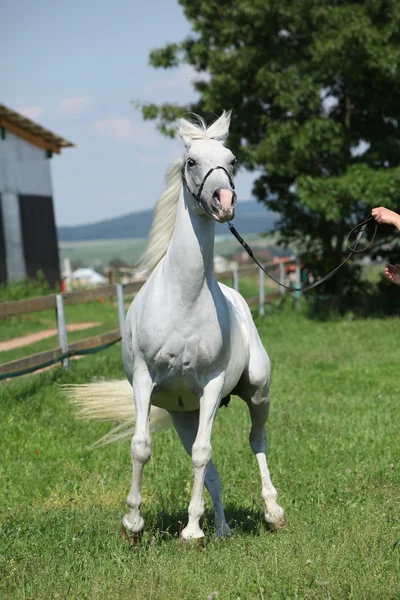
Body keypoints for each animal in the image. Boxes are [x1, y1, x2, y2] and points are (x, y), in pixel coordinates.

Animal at [67, 110, 284, 540]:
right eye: (191, 162)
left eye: (232, 160)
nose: (224, 201)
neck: (183, 299)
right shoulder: (145, 380)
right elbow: (142, 447)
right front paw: (133, 524)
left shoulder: (211, 385)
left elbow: (202, 453)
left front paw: (191, 533)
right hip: (188, 414)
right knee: (214, 470)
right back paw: (222, 530)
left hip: (256, 392)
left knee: (257, 440)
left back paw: (271, 512)